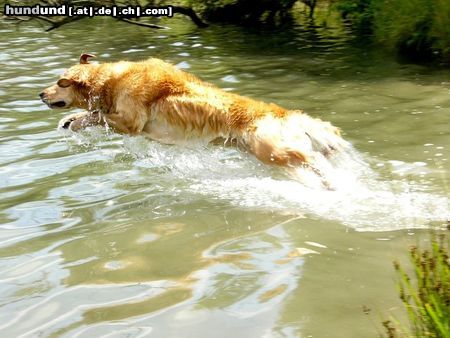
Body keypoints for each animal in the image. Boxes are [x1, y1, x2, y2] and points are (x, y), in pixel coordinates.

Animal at [39, 52, 348, 186]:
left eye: (59, 82)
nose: (40, 93)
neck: (109, 81)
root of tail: (284, 114)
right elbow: (90, 114)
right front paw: (70, 121)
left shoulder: (130, 122)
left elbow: (97, 114)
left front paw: (76, 120)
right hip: (262, 154)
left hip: (271, 149)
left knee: (310, 158)